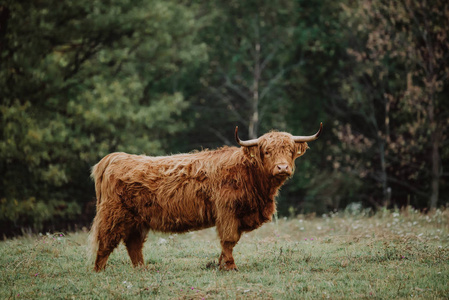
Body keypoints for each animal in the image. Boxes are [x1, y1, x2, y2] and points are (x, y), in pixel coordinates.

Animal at [88, 123, 318, 270]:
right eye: (267, 151)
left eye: (290, 150)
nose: (282, 168)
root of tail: (115, 157)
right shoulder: (227, 212)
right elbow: (229, 239)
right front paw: (230, 267)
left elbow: (230, 242)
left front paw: (221, 264)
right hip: (113, 214)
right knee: (105, 241)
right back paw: (99, 271)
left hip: (137, 220)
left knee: (134, 244)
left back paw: (141, 270)